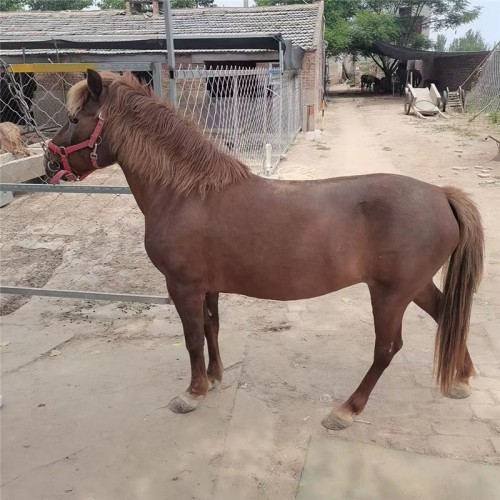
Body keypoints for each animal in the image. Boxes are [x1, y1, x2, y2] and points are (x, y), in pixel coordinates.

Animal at [45, 71, 482, 430]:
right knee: (446, 315)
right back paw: (461, 379)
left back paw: (346, 410)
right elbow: (211, 328)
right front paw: (216, 378)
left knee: (387, 349)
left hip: (391, 294)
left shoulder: (182, 286)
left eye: (75, 119)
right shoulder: (207, 286)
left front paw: (193, 392)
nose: (49, 161)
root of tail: (442, 195)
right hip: (415, 286)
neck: (186, 193)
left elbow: (192, 337)